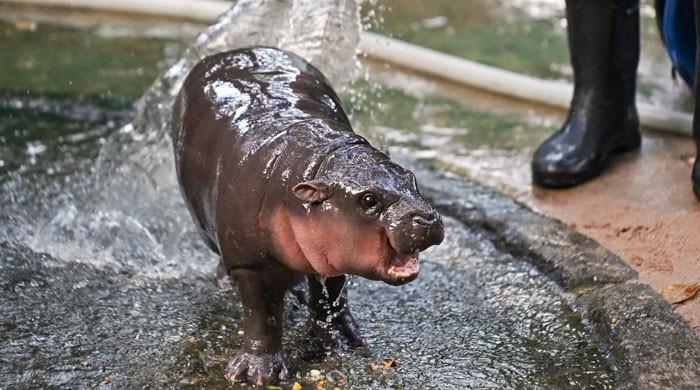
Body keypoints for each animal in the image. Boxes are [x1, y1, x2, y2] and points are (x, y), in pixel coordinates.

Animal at [171, 46, 442, 384]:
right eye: (369, 200)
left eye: (411, 177)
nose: (427, 218)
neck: (319, 162)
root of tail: (232, 51)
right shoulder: (251, 263)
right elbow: (262, 315)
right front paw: (257, 375)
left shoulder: (334, 250)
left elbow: (334, 295)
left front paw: (342, 340)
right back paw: (225, 283)